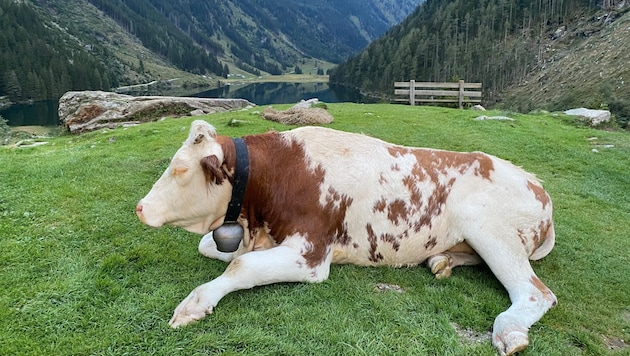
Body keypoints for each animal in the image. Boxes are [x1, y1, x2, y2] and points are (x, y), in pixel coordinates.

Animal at [136, 120, 556, 356]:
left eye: (180, 169)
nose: (140, 207)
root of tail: (535, 182)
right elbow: (211, 246)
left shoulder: (310, 254)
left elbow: (241, 266)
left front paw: (195, 304)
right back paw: (441, 261)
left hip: (490, 228)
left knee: (537, 292)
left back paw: (510, 330)